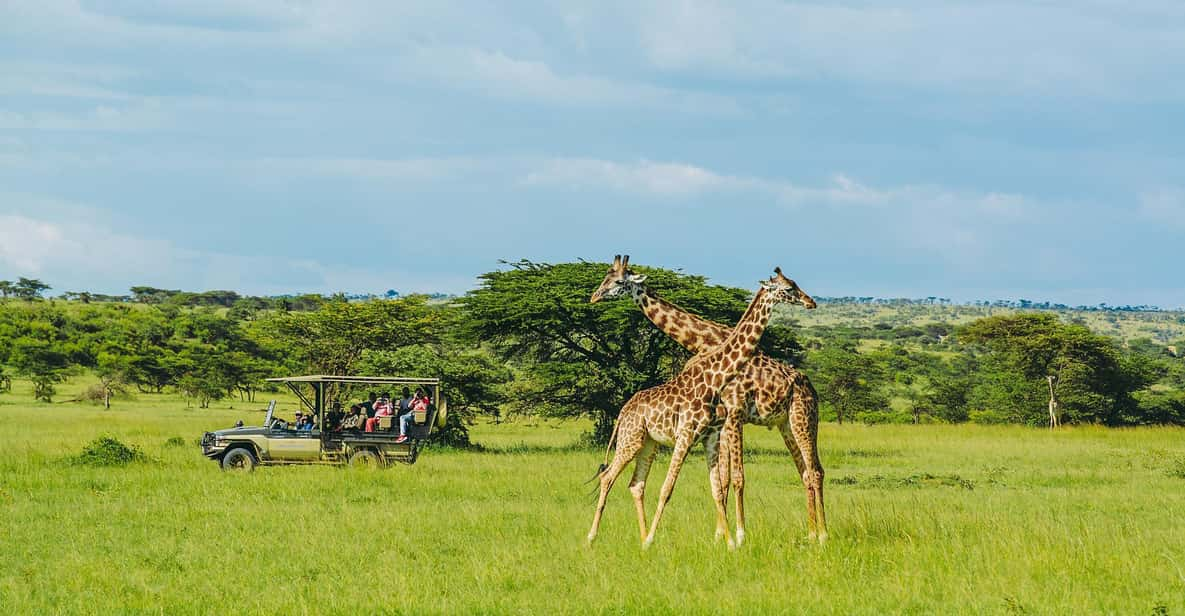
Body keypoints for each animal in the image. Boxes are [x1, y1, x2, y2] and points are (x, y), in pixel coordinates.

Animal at [590, 254, 829, 544]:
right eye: (607, 279)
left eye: (617, 281)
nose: (594, 296)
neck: (704, 341)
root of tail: (812, 389)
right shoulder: (724, 422)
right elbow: (724, 480)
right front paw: (723, 535)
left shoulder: (733, 415)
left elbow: (734, 478)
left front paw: (737, 535)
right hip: (786, 424)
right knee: (805, 472)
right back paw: (812, 533)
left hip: (803, 419)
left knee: (815, 471)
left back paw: (822, 535)